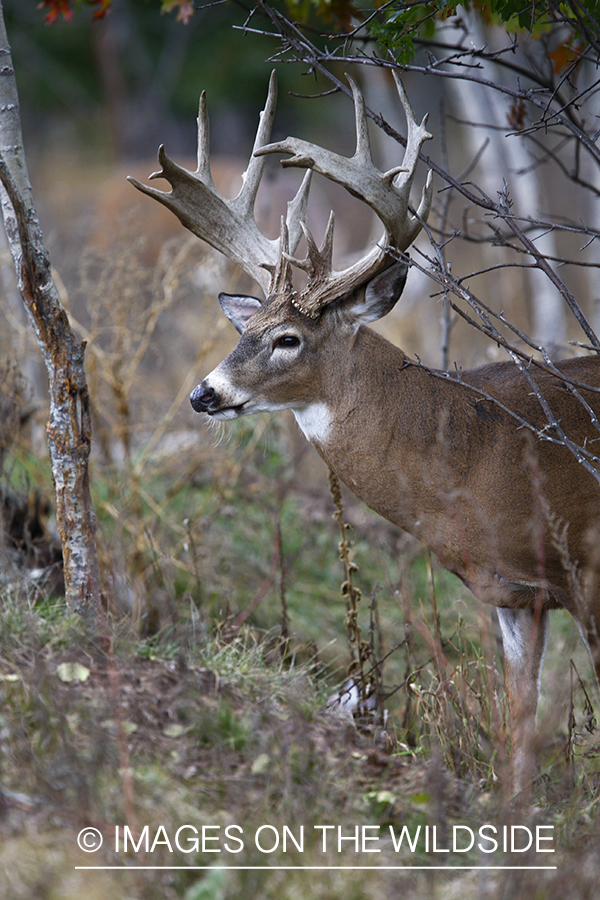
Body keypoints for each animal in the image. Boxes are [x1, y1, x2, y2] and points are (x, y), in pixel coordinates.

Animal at [129, 74, 600, 800]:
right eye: (245, 329)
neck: (483, 454)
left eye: (287, 338)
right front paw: (515, 808)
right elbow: (520, 718)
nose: (203, 394)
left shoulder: (588, 568)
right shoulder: (515, 591)